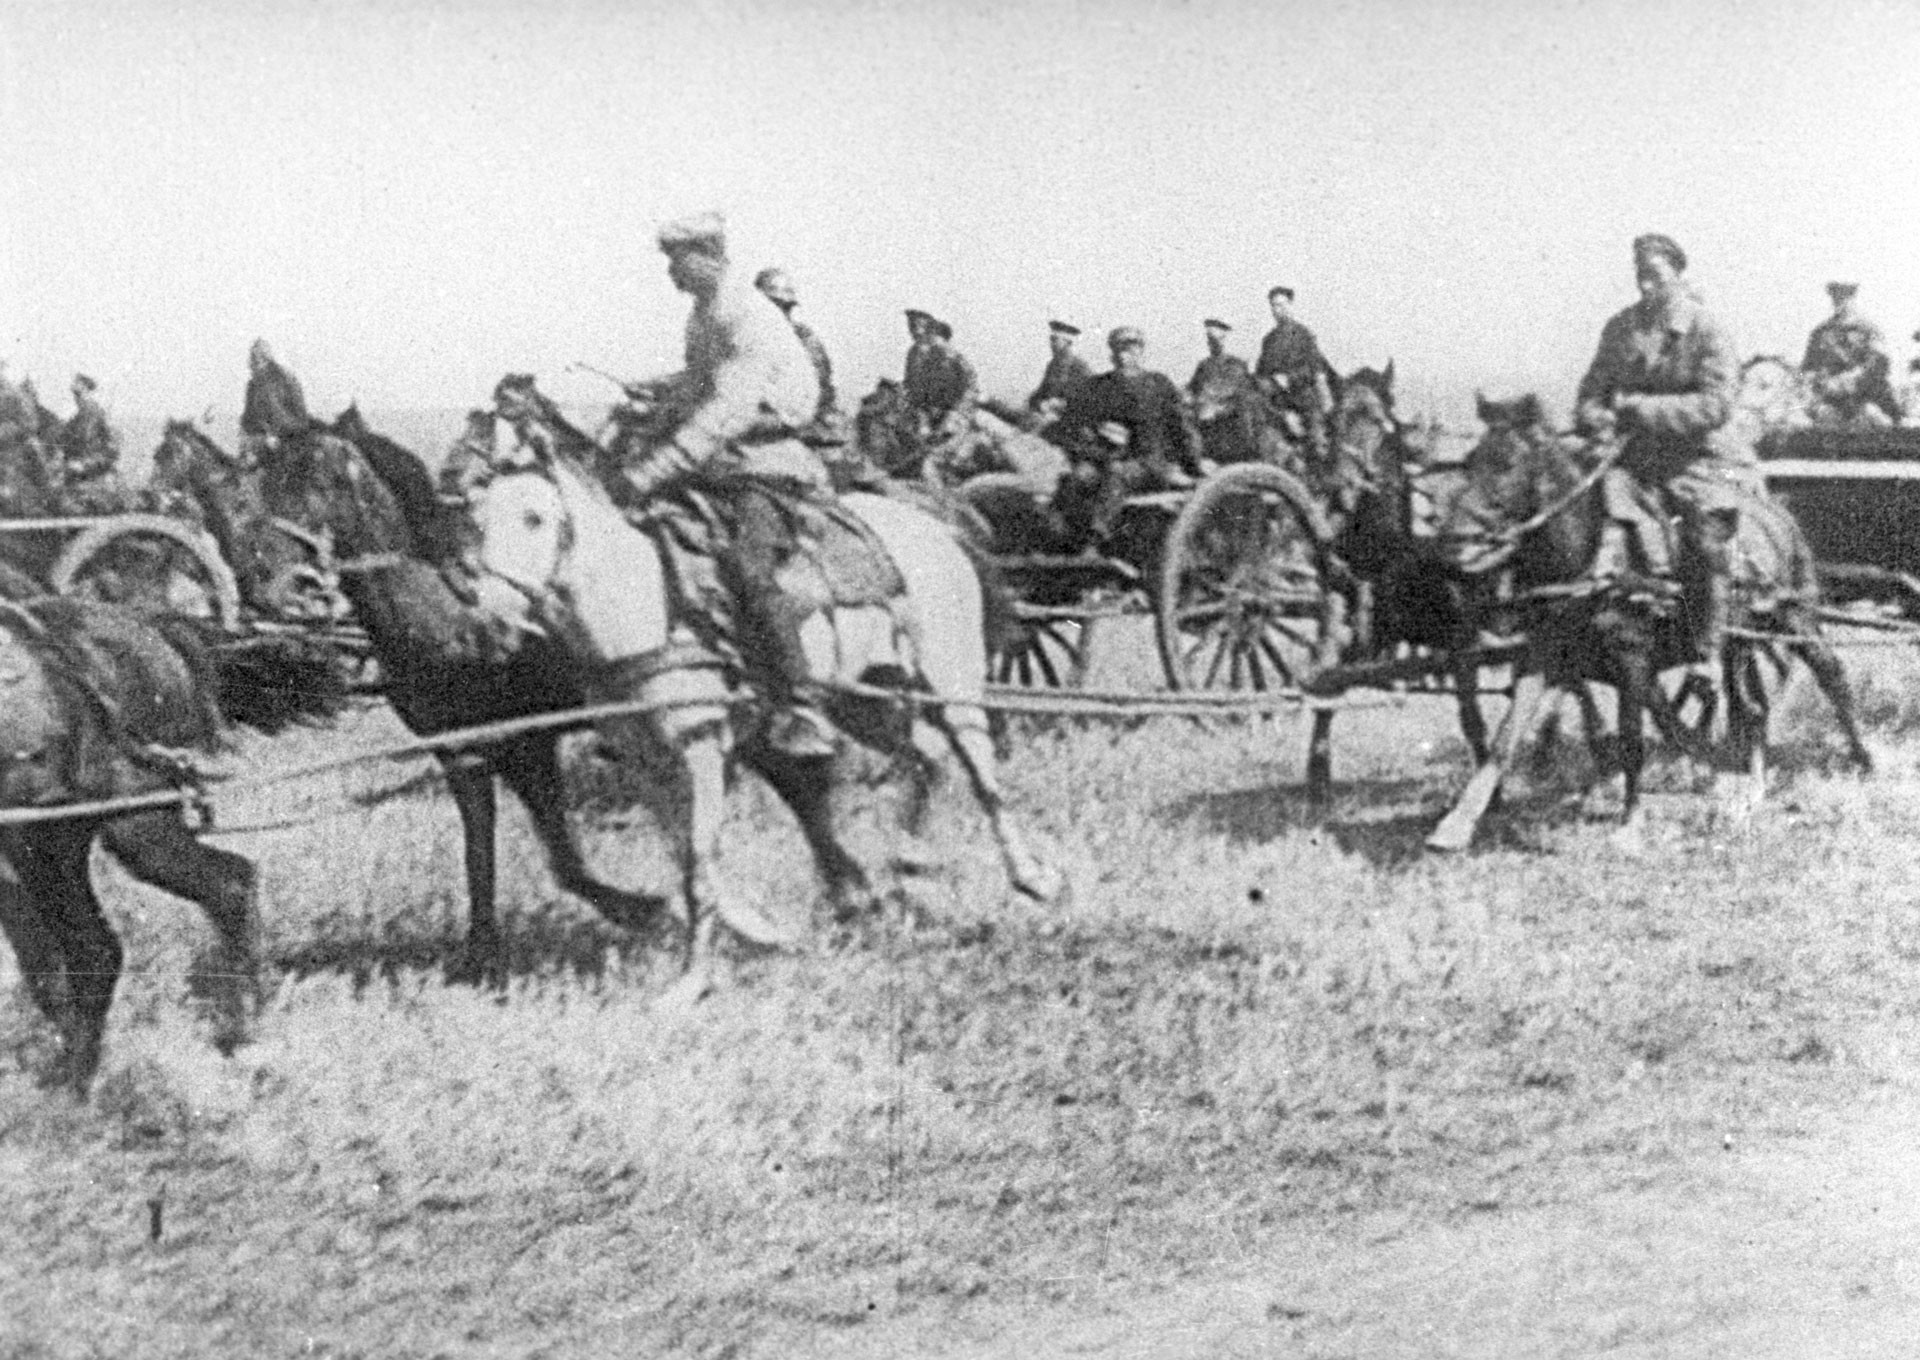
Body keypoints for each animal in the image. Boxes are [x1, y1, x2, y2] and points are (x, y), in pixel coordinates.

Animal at [255, 418, 664, 983]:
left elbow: (564, 859)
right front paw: (481, 959)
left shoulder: (527, 747)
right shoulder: (461, 754)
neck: (460, 628)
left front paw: (646, 910)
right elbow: (481, 853)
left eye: (317, 483)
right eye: (267, 485)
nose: (278, 590)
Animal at [464, 443, 1067, 991]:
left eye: (534, 518)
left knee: (979, 768)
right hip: (863, 698)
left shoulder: (701, 751)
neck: (647, 614)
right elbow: (686, 856)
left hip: (950, 679)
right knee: (928, 755)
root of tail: (934, 525)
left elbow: (699, 861)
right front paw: (761, 930)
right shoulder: (647, 762)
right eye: (477, 524)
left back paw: (1032, 877)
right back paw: (911, 862)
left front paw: (692, 983)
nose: (489, 620)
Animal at [1428, 388, 1873, 845]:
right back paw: (1752, 786)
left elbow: (1641, 736)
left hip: (1797, 617)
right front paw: (1456, 824)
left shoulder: (1633, 661)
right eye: (1468, 461)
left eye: (1507, 464)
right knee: (1750, 706)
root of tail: (1775, 510)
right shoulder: (1545, 657)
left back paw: (1865, 759)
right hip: (1739, 639)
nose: (1451, 546)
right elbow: (1507, 736)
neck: (1594, 558)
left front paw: (1637, 819)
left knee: (1831, 675)